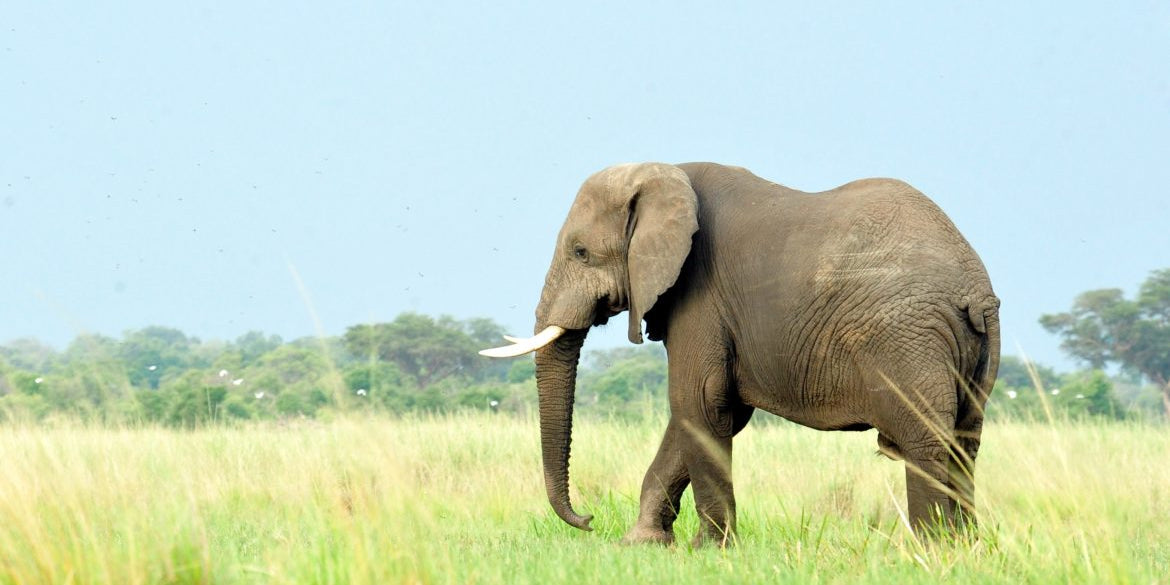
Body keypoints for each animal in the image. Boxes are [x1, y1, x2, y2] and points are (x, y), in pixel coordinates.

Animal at [481, 162, 1000, 546]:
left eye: (581, 252)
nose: (587, 521)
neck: (667, 174)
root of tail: (975, 290)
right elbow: (705, 414)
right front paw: (643, 545)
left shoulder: (700, 294)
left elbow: (698, 402)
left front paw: (711, 550)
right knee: (964, 443)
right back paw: (967, 548)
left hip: (906, 339)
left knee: (924, 442)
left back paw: (931, 549)